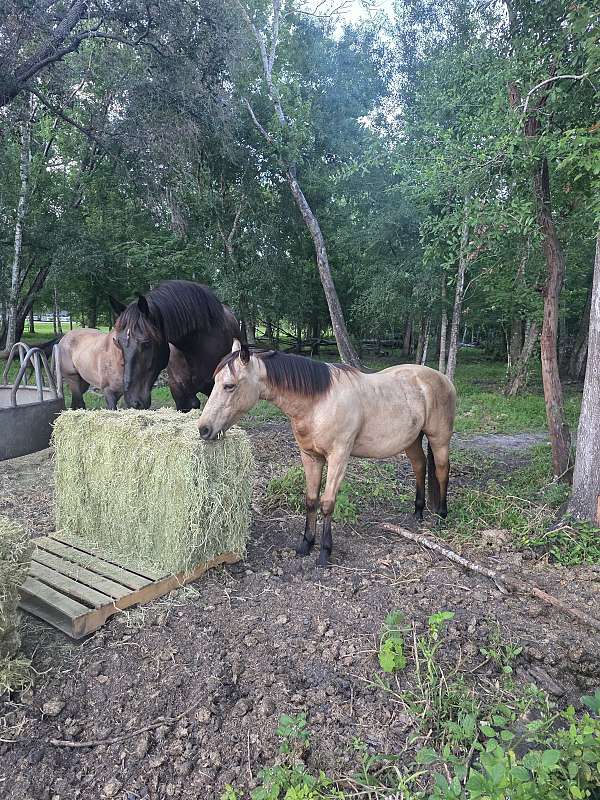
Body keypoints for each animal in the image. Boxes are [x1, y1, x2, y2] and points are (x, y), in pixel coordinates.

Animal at [198, 341, 456, 566]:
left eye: (229, 385)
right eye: (214, 381)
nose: (203, 429)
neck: (319, 402)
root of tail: (443, 379)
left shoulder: (338, 457)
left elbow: (327, 503)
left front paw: (324, 552)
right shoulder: (310, 457)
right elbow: (311, 500)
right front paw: (306, 545)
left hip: (439, 440)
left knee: (442, 471)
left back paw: (441, 516)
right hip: (411, 440)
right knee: (420, 466)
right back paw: (418, 512)